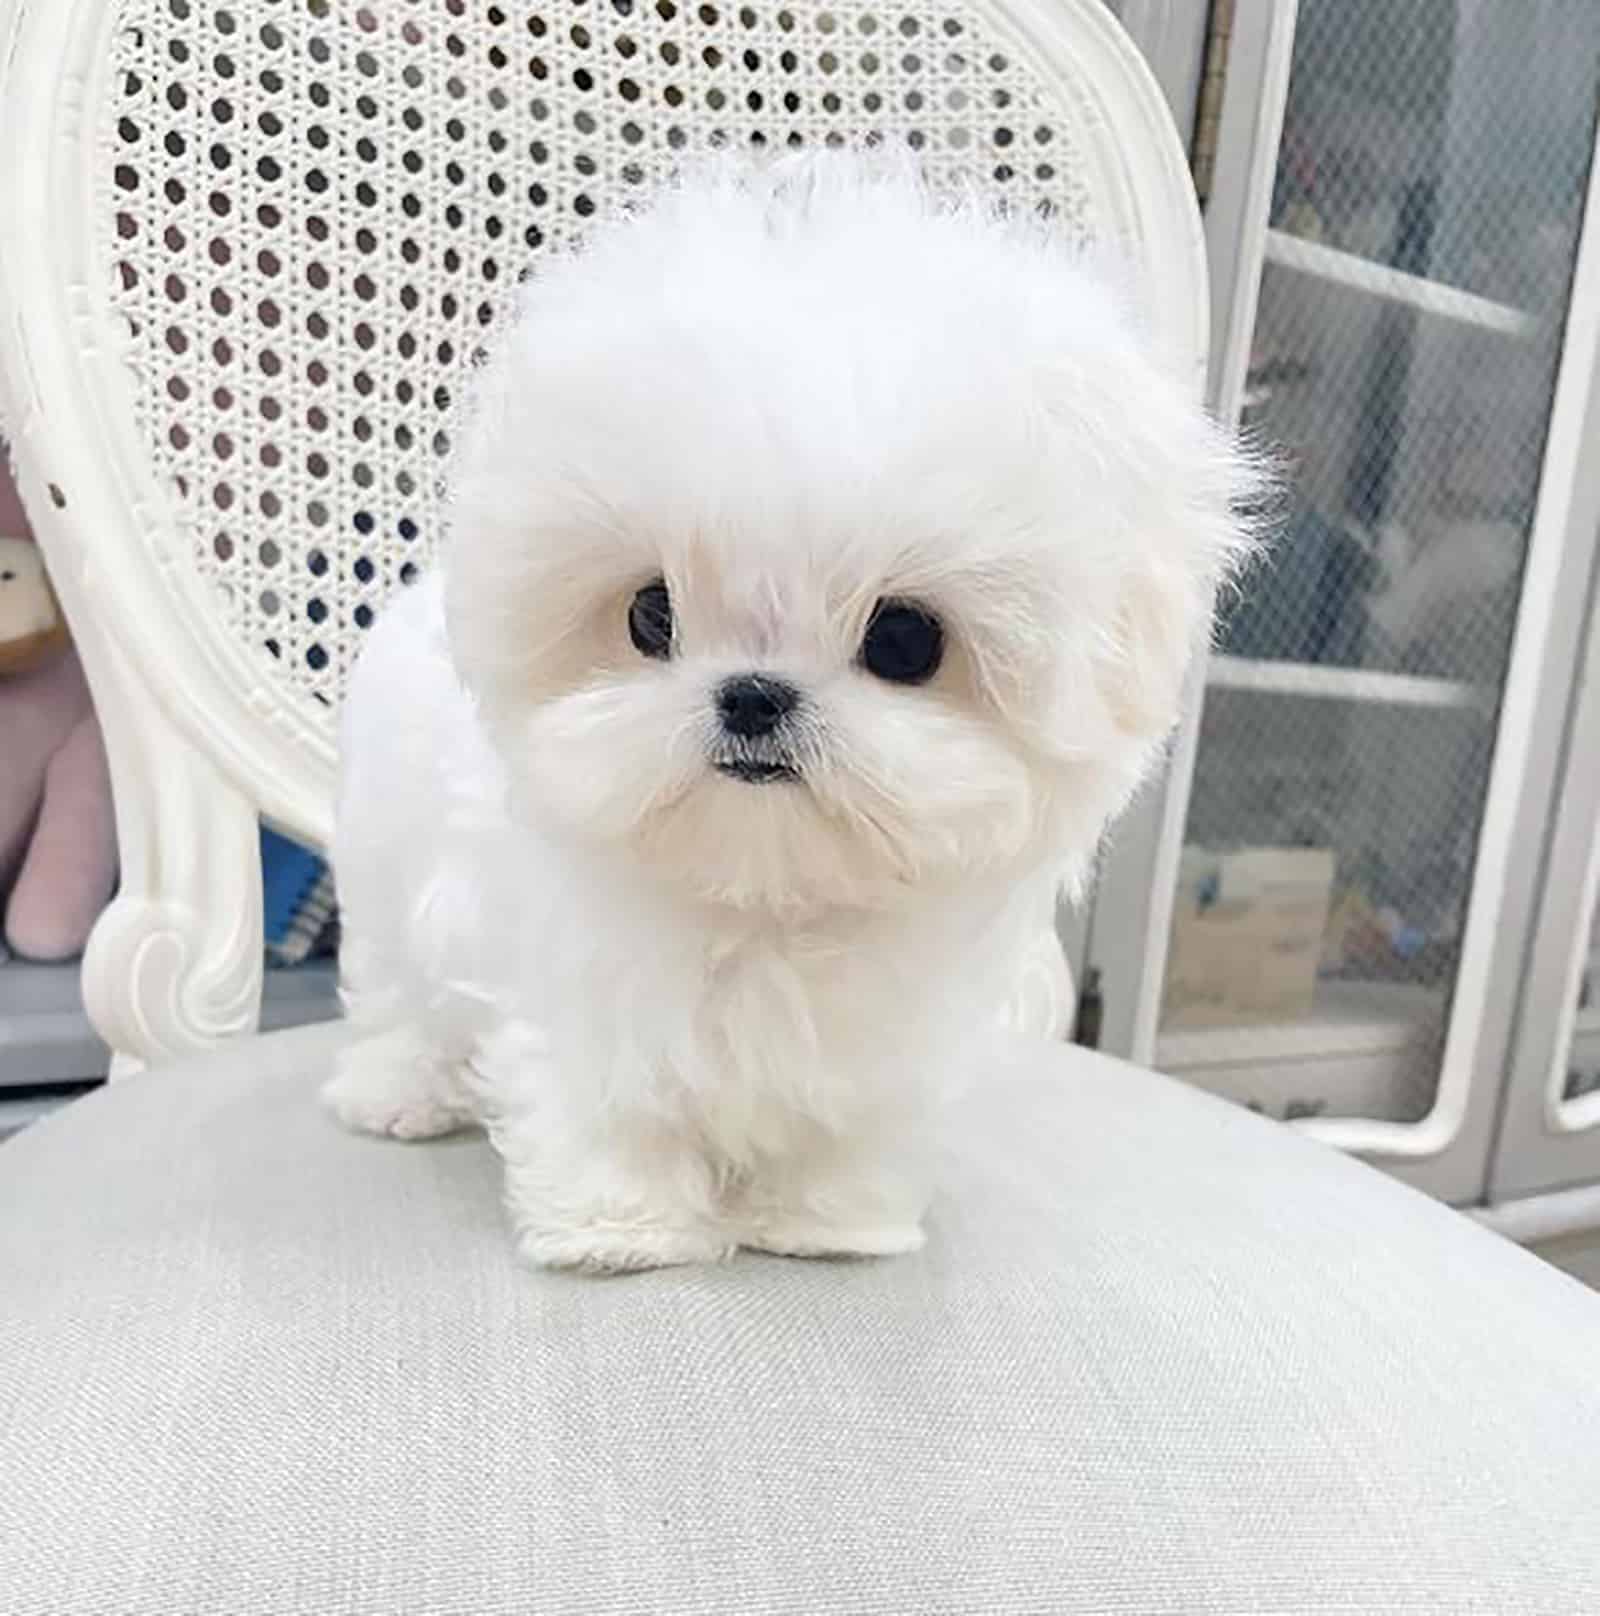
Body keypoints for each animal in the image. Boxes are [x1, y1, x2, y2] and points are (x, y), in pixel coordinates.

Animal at [323, 160, 1254, 1273]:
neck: (764, 894)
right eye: (650, 614)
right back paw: (396, 1092)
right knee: (396, 990)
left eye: (904, 640)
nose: (754, 693)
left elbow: (844, 1130)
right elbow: (610, 1103)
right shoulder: (587, 993)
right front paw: (620, 1228)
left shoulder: (880, 1045)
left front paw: (829, 1222)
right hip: (385, 870)